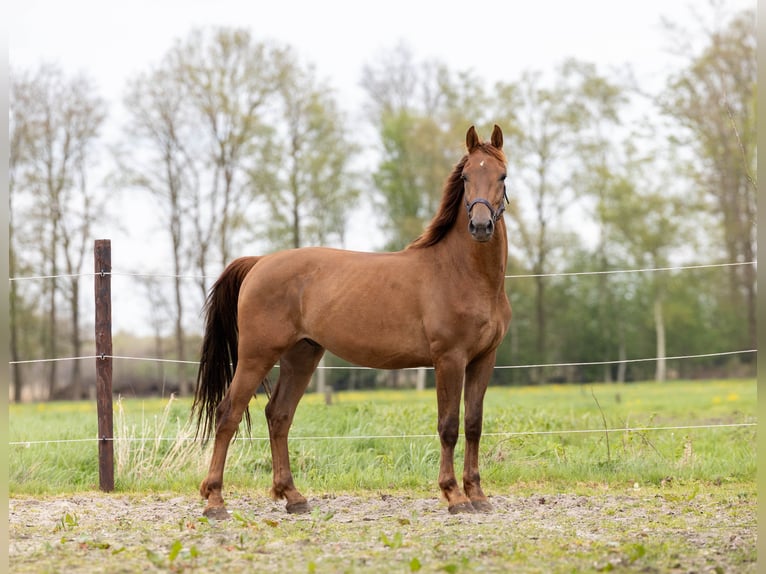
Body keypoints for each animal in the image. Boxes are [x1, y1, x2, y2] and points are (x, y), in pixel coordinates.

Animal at [192, 124, 512, 520]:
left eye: (502, 175)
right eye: (467, 176)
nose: (481, 226)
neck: (462, 273)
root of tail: (260, 262)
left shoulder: (484, 359)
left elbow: (473, 424)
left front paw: (478, 494)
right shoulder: (449, 359)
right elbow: (449, 426)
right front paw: (454, 496)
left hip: (302, 355)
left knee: (278, 415)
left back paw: (293, 496)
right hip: (256, 356)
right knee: (228, 414)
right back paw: (215, 501)